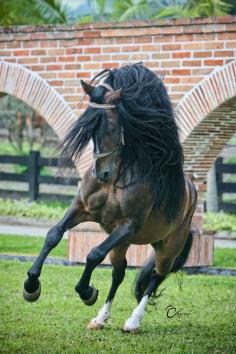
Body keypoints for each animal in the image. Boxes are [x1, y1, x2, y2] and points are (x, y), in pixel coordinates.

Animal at [22, 63, 197, 332]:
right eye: (88, 129)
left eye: (112, 128)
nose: (101, 173)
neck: (117, 178)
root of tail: (192, 190)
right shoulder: (82, 208)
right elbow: (54, 234)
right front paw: (31, 286)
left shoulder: (127, 225)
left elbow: (94, 254)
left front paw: (86, 291)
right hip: (123, 244)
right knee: (119, 273)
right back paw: (100, 318)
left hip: (167, 247)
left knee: (156, 276)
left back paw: (133, 322)